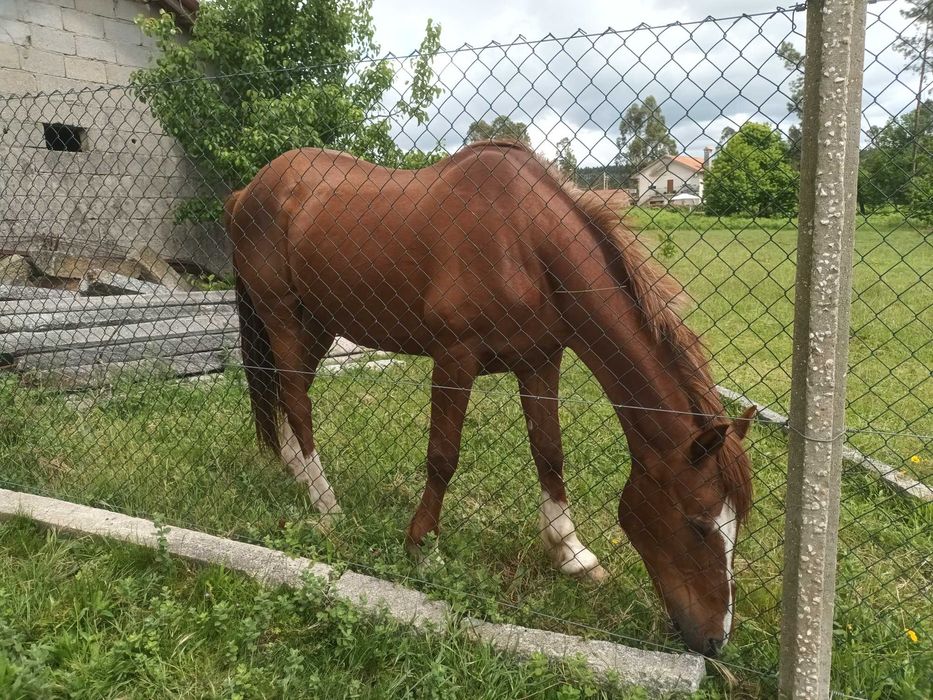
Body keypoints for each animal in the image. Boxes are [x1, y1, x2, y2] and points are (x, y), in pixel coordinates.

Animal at [224, 139, 756, 656]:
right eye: (698, 524)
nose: (714, 643)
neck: (526, 245)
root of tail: (248, 191)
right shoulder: (455, 356)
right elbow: (443, 456)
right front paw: (424, 547)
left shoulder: (540, 363)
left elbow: (549, 453)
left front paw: (572, 553)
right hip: (281, 314)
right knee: (297, 399)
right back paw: (327, 503)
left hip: (317, 321)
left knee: (289, 393)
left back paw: (298, 473)